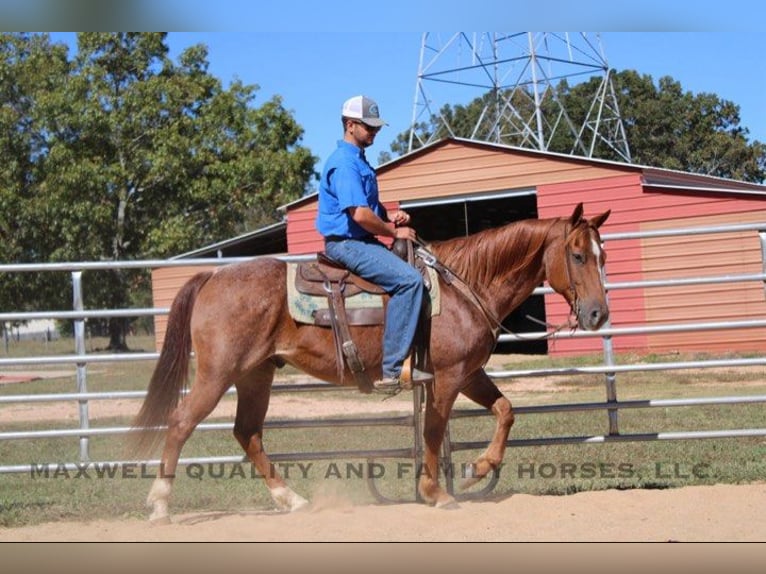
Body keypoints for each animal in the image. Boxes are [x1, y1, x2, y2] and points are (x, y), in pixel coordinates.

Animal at [130, 202, 610, 522]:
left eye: (603, 255)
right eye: (578, 255)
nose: (597, 314)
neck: (465, 286)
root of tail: (213, 276)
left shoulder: (469, 372)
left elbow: (506, 411)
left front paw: (475, 470)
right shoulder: (446, 376)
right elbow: (433, 430)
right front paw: (435, 492)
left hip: (255, 375)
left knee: (247, 433)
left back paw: (292, 500)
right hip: (218, 373)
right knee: (181, 423)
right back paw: (159, 505)